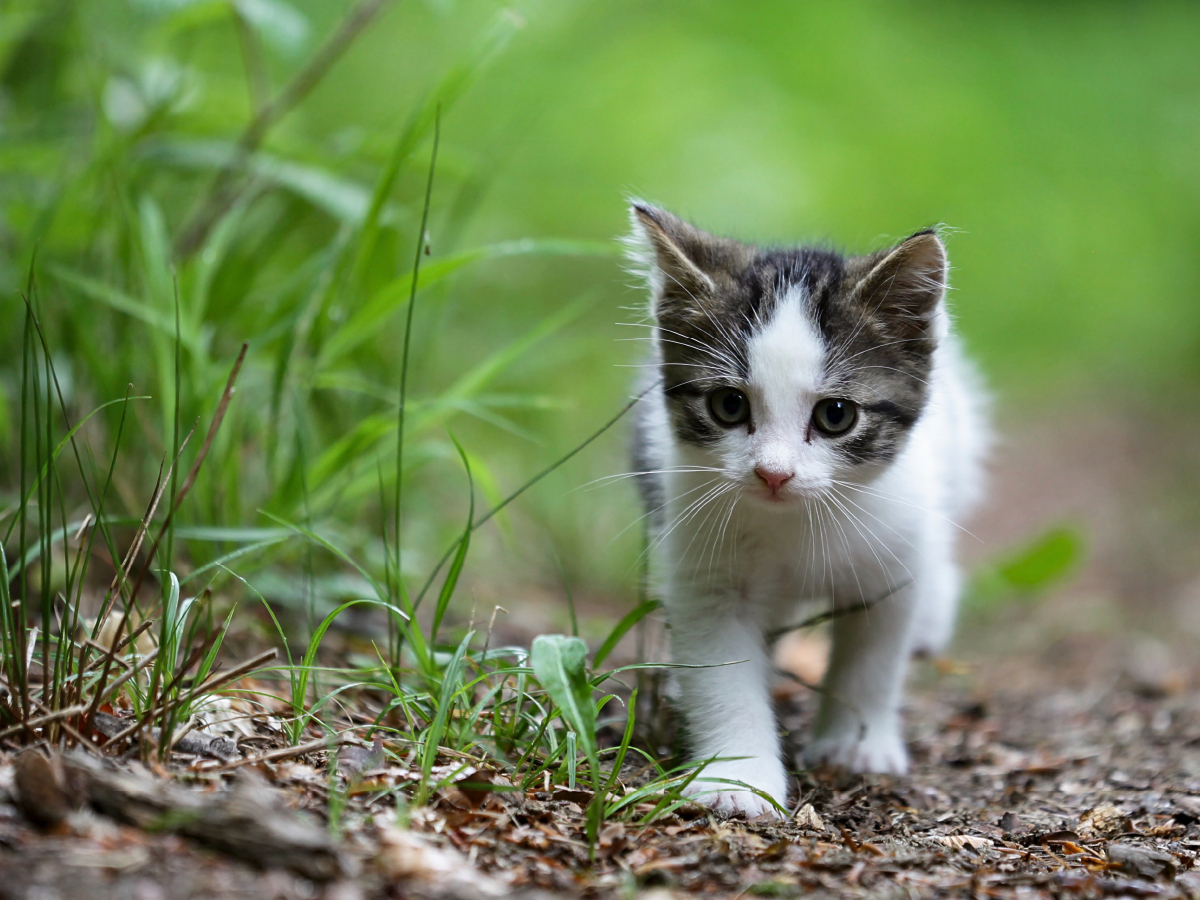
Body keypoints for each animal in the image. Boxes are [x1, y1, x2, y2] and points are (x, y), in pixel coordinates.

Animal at [628, 206, 984, 825]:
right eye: (728, 405)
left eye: (836, 414)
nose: (774, 473)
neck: (794, 524)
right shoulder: (704, 573)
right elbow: (723, 671)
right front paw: (738, 778)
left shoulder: (894, 559)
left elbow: (874, 659)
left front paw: (856, 745)